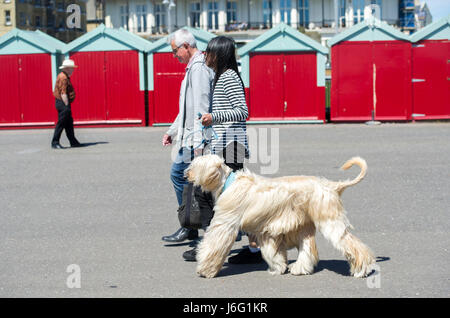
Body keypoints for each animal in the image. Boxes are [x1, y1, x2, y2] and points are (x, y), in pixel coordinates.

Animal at [185, 155, 374, 278]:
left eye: (195, 165)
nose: (186, 174)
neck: (229, 183)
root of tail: (331, 186)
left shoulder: (225, 224)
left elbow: (213, 246)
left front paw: (205, 270)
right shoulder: (267, 230)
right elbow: (273, 252)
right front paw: (278, 267)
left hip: (329, 220)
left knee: (350, 243)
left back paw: (362, 269)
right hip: (304, 225)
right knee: (307, 248)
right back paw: (300, 268)